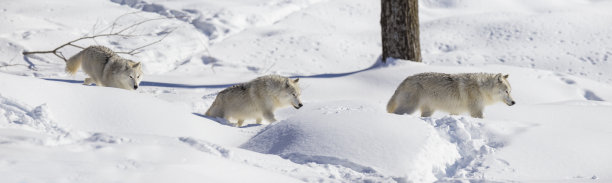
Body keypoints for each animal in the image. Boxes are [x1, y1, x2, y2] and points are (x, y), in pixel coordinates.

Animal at [388, 72, 516, 118]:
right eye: (506, 91)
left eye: (510, 91)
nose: (514, 102)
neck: (482, 88)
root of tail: (405, 80)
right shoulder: (476, 111)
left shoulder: (455, 111)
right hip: (410, 108)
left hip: (428, 111)